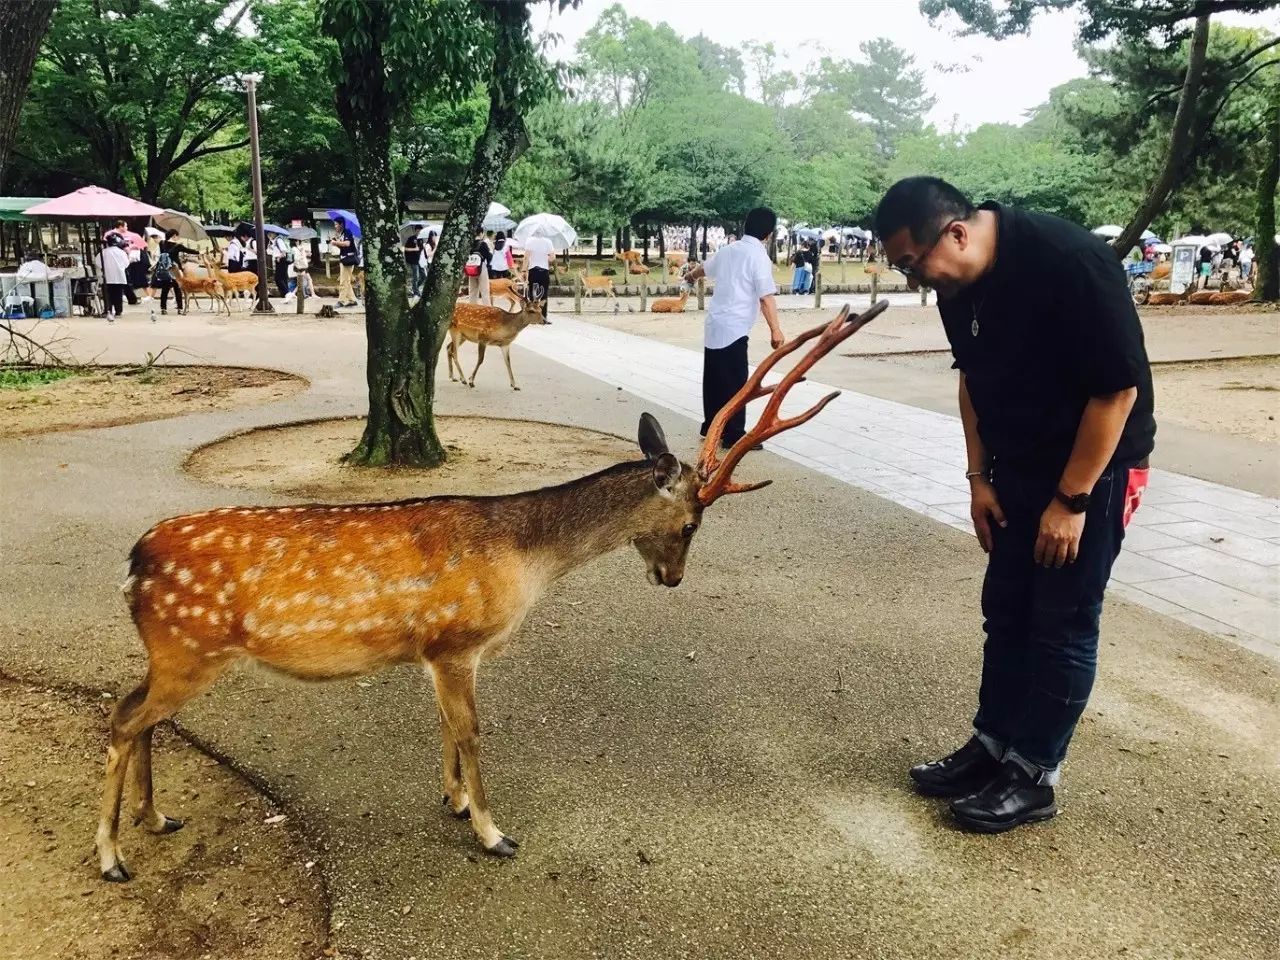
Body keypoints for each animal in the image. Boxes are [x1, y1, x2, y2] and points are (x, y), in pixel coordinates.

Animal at [92, 304, 890, 885]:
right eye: (691, 522)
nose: (673, 579)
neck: (525, 561)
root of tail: (133, 560)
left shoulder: (435, 650)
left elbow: (447, 729)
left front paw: (451, 801)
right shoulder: (457, 640)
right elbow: (473, 732)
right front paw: (492, 831)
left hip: (173, 651)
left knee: (135, 712)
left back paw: (157, 819)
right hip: (189, 647)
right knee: (124, 718)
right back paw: (111, 857)